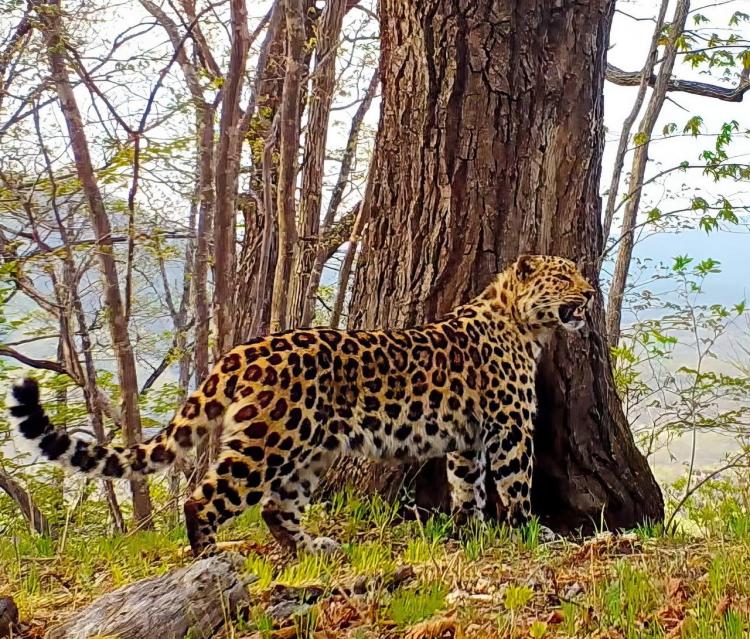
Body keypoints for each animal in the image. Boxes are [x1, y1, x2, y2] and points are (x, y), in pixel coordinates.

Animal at [5, 252, 592, 556]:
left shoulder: (467, 441)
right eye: (565, 277)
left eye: (582, 277)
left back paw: (312, 550)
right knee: (205, 498)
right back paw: (210, 557)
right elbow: (515, 485)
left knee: (275, 506)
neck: (525, 326)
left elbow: (468, 488)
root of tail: (240, 350)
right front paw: (531, 533)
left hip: (312, 451)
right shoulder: (511, 429)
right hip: (268, 442)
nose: (589, 295)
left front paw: (469, 534)